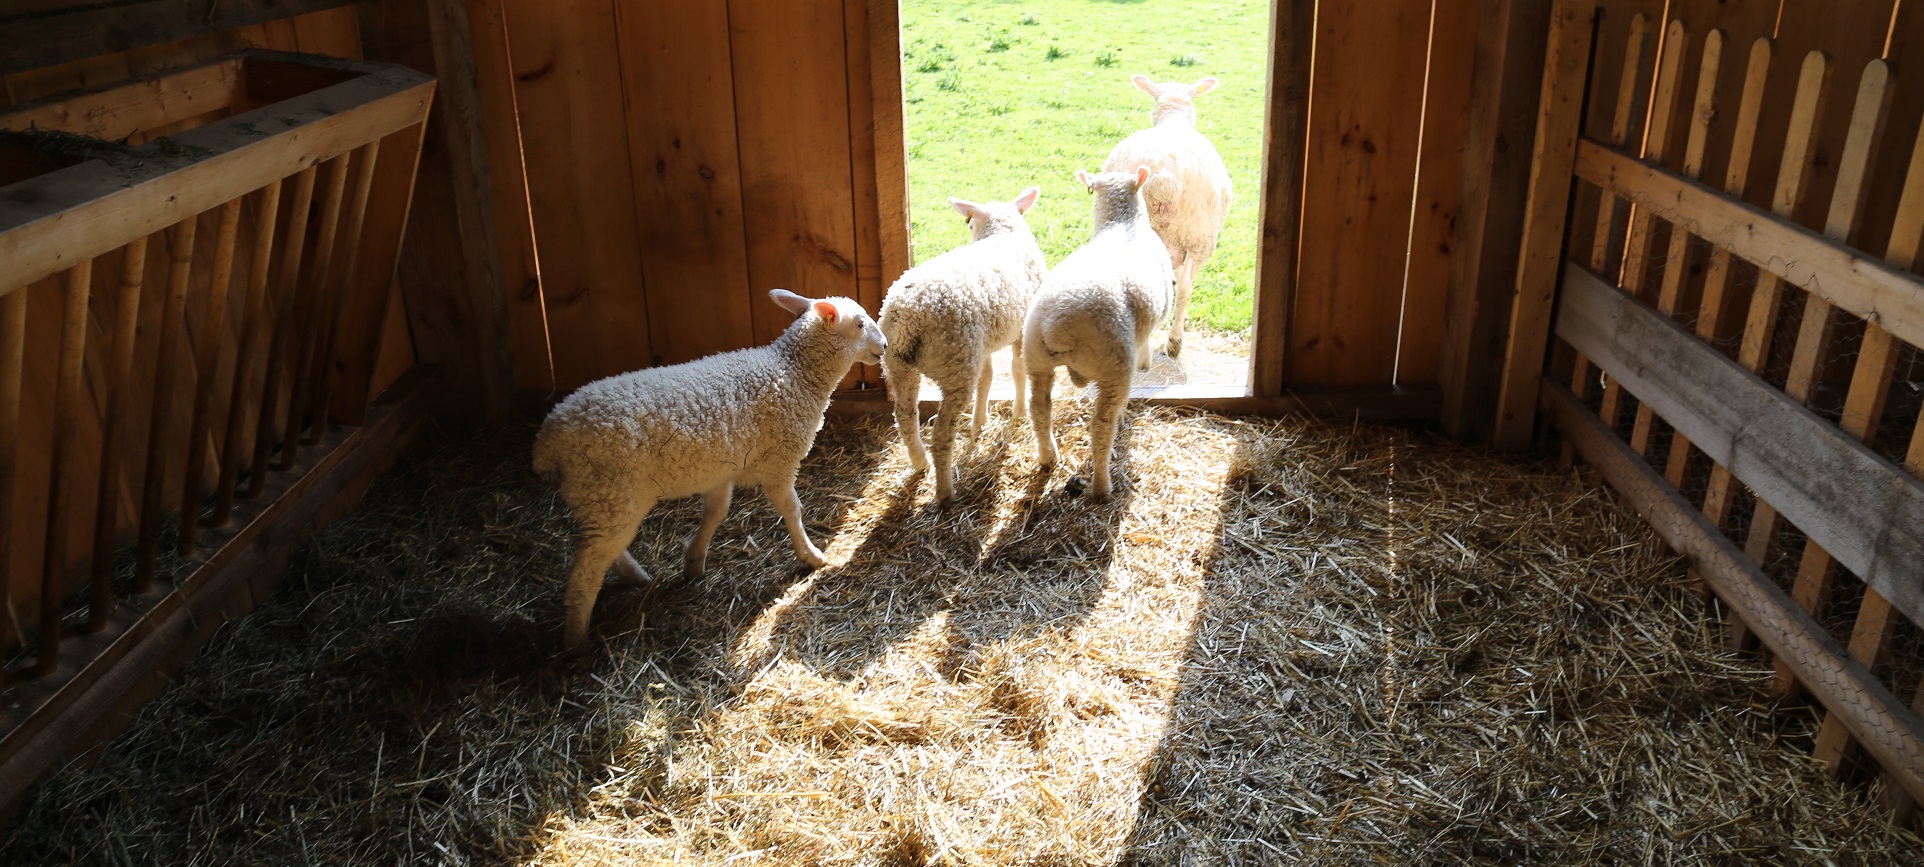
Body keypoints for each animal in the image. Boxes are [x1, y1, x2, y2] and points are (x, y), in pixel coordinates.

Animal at [532, 289, 887, 652]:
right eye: (860, 324)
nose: (885, 346)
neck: (794, 372)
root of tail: (548, 440)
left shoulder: (722, 469)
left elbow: (716, 512)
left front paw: (694, 562)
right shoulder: (779, 461)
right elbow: (792, 509)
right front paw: (812, 556)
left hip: (596, 498)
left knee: (604, 550)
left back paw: (635, 577)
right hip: (610, 491)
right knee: (587, 569)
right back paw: (576, 639)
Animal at [879, 186, 1048, 504]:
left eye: (969, 223)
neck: (1002, 233)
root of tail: (909, 315)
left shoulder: (982, 345)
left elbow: (988, 378)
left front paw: (979, 421)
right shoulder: (1021, 329)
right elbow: (1018, 369)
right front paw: (1018, 412)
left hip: (900, 365)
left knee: (905, 418)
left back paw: (920, 463)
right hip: (956, 362)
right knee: (942, 435)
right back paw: (945, 491)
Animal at [1023, 166, 1174, 500]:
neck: (1122, 222)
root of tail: (1059, 324)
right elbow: (1144, 348)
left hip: (1036, 359)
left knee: (1039, 408)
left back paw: (1048, 457)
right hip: (1114, 364)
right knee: (1101, 425)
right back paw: (1102, 486)